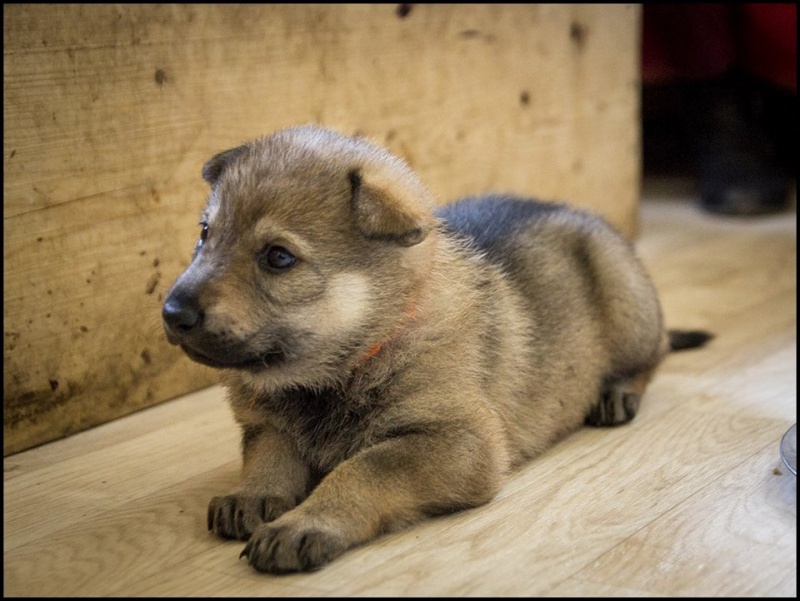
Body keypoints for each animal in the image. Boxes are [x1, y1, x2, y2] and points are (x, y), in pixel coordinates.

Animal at [162, 123, 712, 572]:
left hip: (627, 301)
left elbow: (364, 468)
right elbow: (268, 454)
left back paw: (616, 392)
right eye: (205, 234)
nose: (172, 312)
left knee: (653, 355)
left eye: (278, 257)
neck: (363, 352)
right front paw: (253, 494)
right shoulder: (268, 423)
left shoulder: (459, 442)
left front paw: (305, 523)